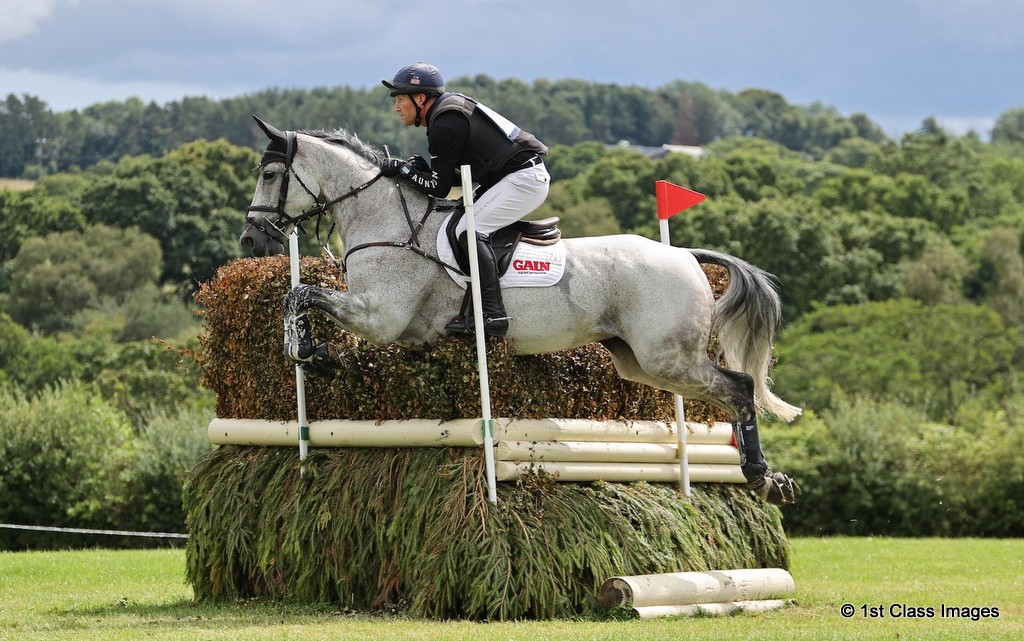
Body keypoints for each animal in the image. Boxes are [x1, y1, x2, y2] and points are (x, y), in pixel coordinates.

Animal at [239, 116, 801, 505]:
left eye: (271, 174)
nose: (250, 239)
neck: (387, 220)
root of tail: (685, 255)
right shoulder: (401, 329)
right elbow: (304, 297)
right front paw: (317, 353)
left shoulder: (380, 316)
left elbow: (299, 295)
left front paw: (312, 353)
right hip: (639, 361)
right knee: (725, 390)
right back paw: (767, 477)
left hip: (669, 357)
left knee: (739, 388)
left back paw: (763, 478)